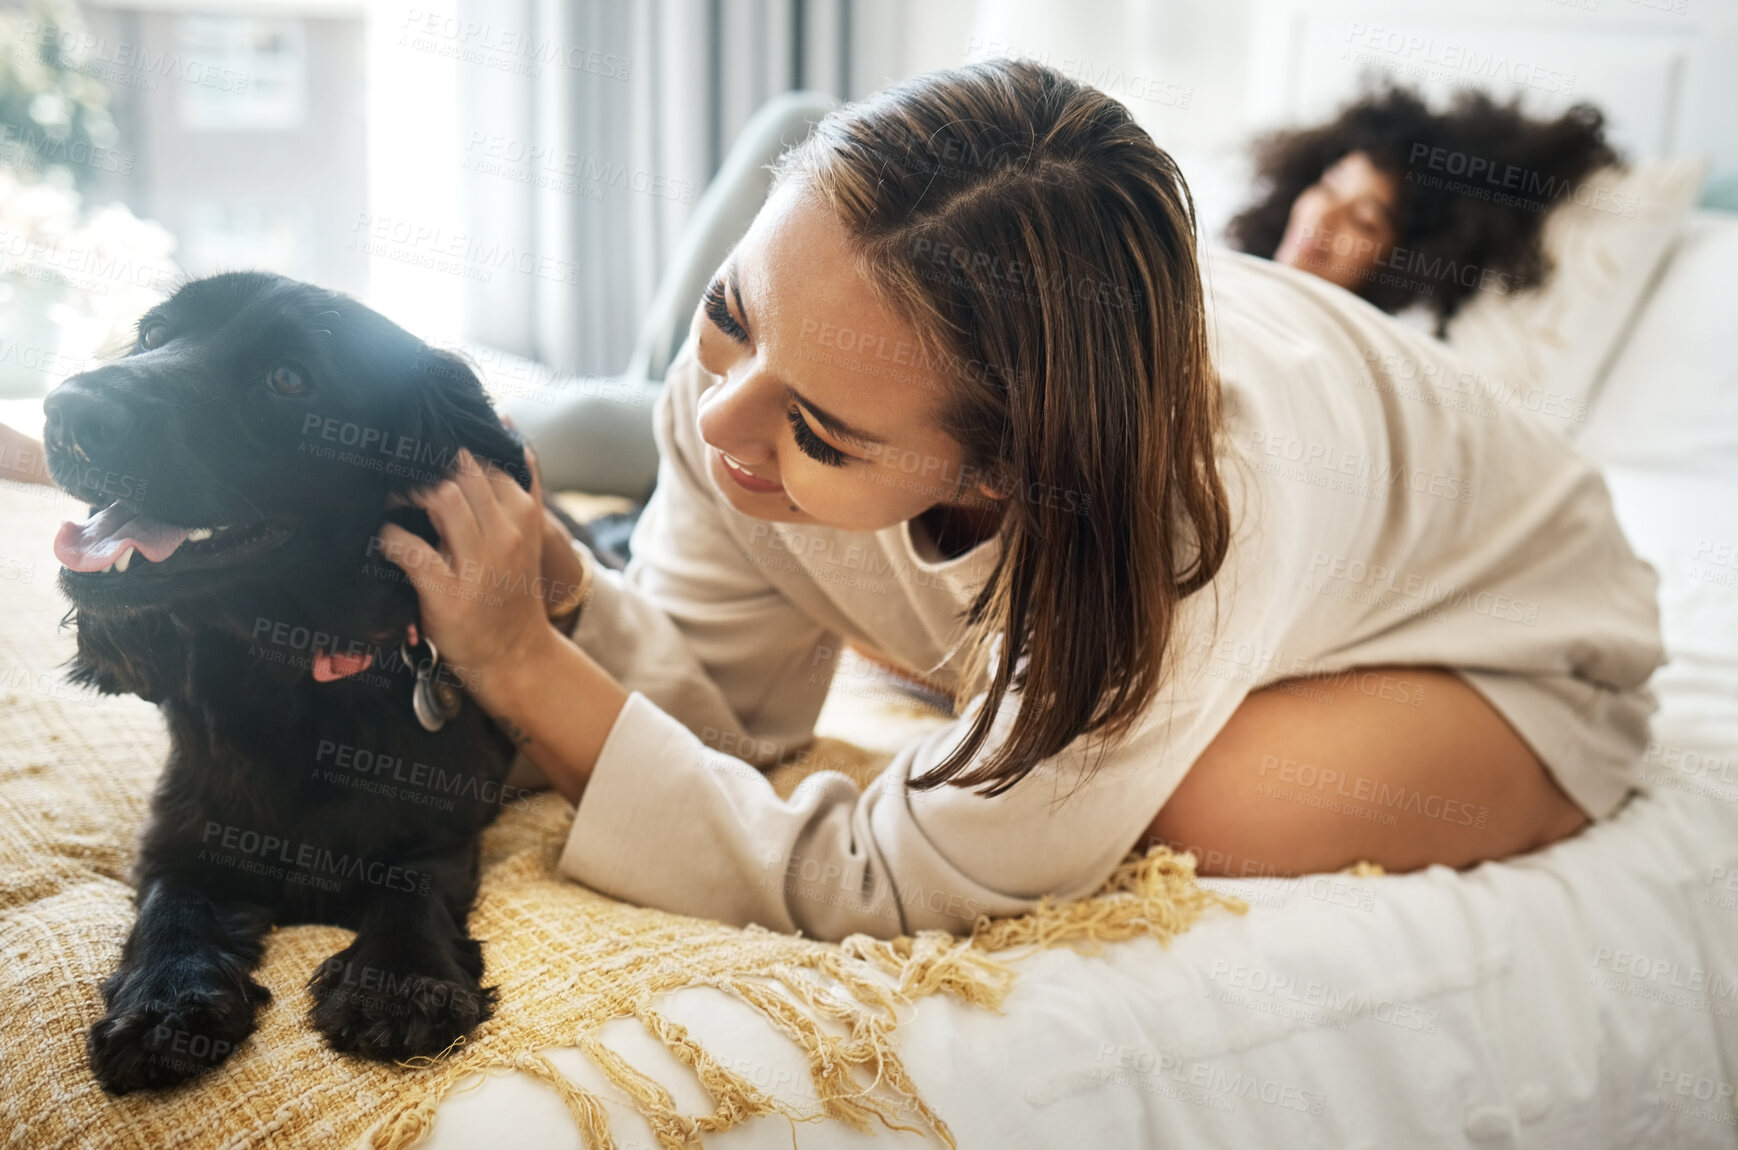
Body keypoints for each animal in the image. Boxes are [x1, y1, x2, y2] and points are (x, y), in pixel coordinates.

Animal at [45, 272, 604, 1097]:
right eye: (152, 335)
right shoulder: (177, 828)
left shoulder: (442, 831)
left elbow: (413, 887)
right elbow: (170, 904)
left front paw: (401, 984)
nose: (66, 411)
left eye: (288, 379)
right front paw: (164, 1002)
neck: (292, 667)